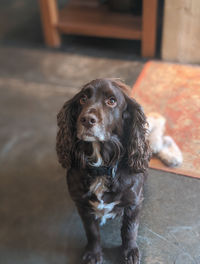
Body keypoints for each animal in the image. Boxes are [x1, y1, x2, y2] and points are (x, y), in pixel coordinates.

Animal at [55, 79, 150, 264]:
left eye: (111, 101)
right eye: (83, 99)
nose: (86, 119)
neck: (101, 169)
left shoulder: (134, 202)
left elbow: (129, 230)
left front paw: (130, 251)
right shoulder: (82, 204)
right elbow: (91, 232)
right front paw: (94, 253)